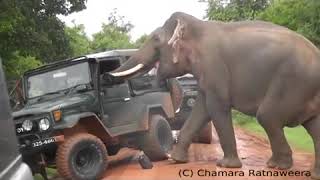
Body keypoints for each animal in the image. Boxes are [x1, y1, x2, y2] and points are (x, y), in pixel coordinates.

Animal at [109, 12, 320, 179]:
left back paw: (276, 166)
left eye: (155, 40)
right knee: (313, 126)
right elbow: (201, 109)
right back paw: (312, 173)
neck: (196, 26)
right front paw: (175, 160)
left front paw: (226, 165)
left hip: (294, 82)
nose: (105, 75)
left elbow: (216, 107)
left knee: (268, 116)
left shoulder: (213, 66)